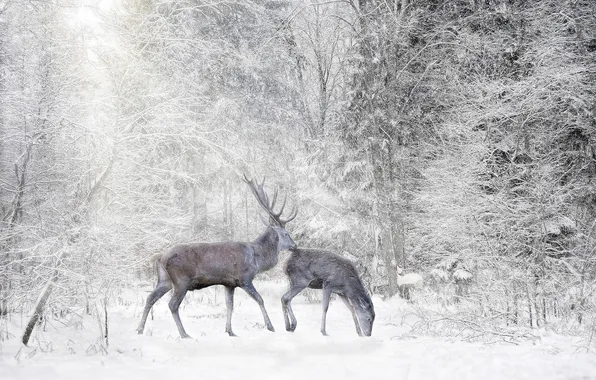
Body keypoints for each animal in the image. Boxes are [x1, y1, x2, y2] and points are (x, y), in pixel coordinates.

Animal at [139, 175, 298, 338]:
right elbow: (260, 299)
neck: (257, 259)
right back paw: (184, 334)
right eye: (286, 234)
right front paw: (270, 326)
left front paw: (230, 331)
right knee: (172, 304)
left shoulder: (229, 283)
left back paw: (140, 329)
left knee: (150, 298)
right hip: (181, 280)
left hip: (165, 280)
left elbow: (230, 305)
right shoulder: (244, 278)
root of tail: (160, 257)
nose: (295, 245)